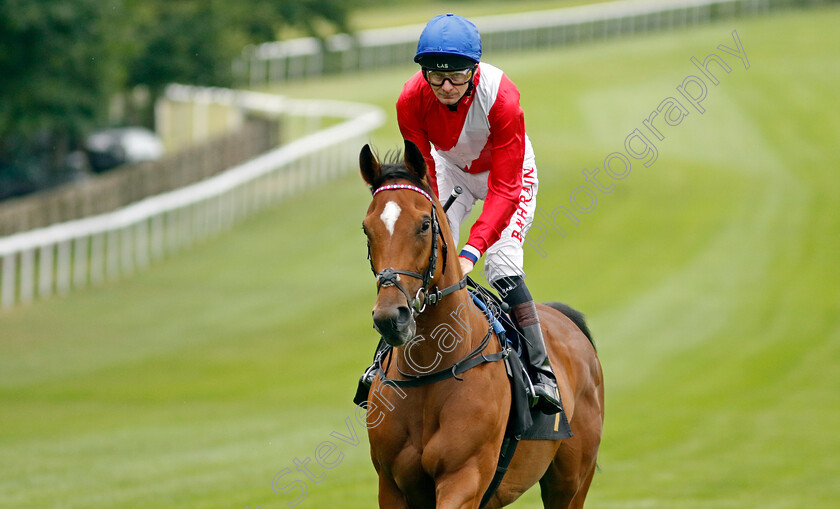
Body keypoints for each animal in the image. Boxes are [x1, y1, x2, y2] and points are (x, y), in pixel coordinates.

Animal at [358, 140, 600, 508]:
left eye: (424, 225)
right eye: (367, 228)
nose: (390, 317)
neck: (430, 368)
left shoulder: (464, 478)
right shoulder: (391, 485)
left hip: (571, 481)